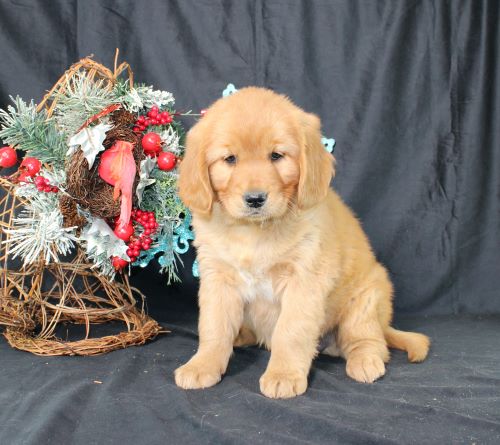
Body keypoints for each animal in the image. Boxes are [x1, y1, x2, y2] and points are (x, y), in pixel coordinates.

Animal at [174, 85, 428, 398]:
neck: (254, 231)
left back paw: (365, 361)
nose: (255, 199)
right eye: (230, 159)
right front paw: (202, 365)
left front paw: (283, 374)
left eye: (276, 156)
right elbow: (214, 327)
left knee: (370, 341)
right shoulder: (218, 278)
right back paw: (242, 336)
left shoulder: (304, 281)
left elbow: (291, 331)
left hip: (367, 298)